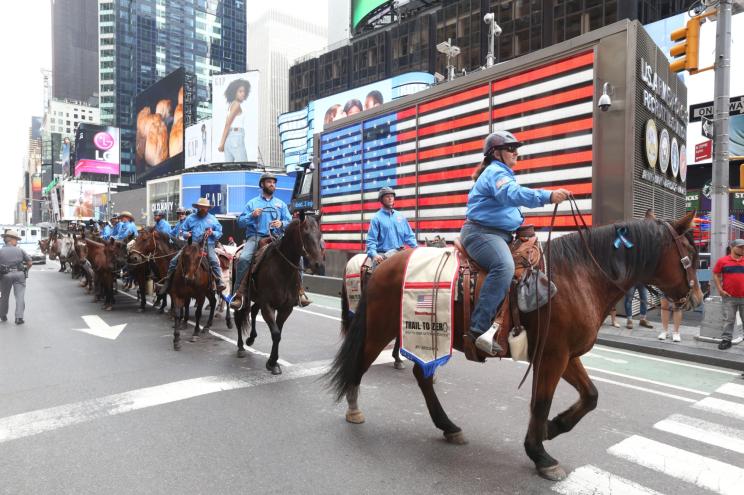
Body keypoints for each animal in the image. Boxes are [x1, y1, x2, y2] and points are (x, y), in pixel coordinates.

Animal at [232, 214, 322, 376]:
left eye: (319, 235)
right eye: (306, 234)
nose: (318, 264)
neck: (283, 270)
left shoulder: (285, 308)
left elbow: (278, 333)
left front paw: (273, 362)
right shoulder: (268, 305)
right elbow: (275, 333)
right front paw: (272, 363)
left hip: (258, 299)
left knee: (253, 311)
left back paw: (251, 339)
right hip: (243, 296)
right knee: (239, 316)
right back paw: (241, 347)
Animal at [326, 212, 704, 480]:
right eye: (690, 251)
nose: (698, 298)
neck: (579, 275)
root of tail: (383, 264)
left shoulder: (565, 355)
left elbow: (590, 396)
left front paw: (553, 428)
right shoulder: (553, 356)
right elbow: (540, 402)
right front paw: (540, 453)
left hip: (426, 335)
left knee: (423, 376)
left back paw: (448, 426)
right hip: (381, 328)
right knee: (360, 362)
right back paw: (354, 408)